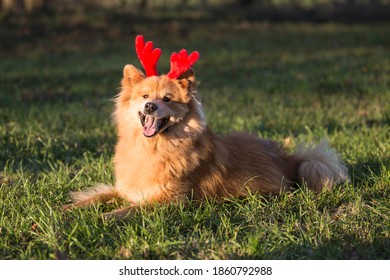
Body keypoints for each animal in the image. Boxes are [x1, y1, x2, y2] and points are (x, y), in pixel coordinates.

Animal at [64, 35, 350, 219]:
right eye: (144, 96)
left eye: (167, 99)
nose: (150, 107)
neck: (152, 148)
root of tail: (288, 158)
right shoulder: (126, 189)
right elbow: (97, 196)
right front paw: (68, 211)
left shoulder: (170, 200)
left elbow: (126, 210)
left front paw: (101, 218)